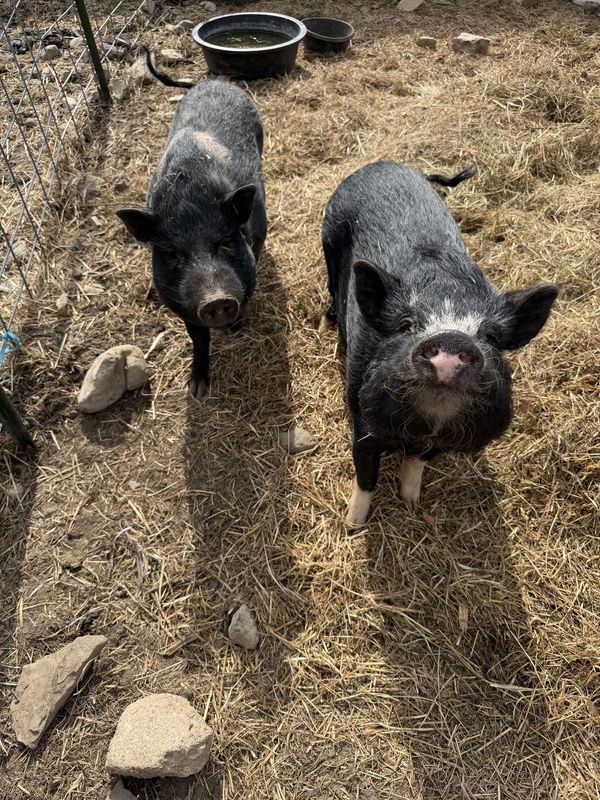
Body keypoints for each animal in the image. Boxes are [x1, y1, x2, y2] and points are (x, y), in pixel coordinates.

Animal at [117, 49, 267, 397]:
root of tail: (210, 81)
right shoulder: (181, 303)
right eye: (173, 254)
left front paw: (237, 329)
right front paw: (196, 391)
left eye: (225, 243)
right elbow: (198, 339)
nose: (216, 299)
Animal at [321, 161, 558, 526]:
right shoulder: (362, 420)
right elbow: (365, 475)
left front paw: (411, 502)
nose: (451, 337)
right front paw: (352, 525)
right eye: (405, 326)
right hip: (329, 239)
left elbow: (417, 462)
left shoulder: (440, 442)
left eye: (490, 337)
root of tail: (383, 163)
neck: (422, 429)